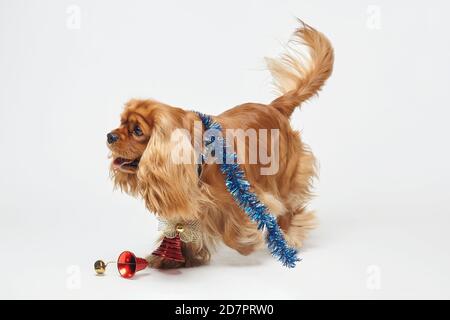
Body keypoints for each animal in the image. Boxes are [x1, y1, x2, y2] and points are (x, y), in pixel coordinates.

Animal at [106, 22, 334, 268]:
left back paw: (289, 234)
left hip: (285, 174)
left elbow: (234, 226)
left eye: (138, 131)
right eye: (121, 123)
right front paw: (173, 257)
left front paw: (247, 241)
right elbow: (181, 227)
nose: (109, 136)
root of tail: (275, 107)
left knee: (288, 205)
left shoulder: (238, 197)